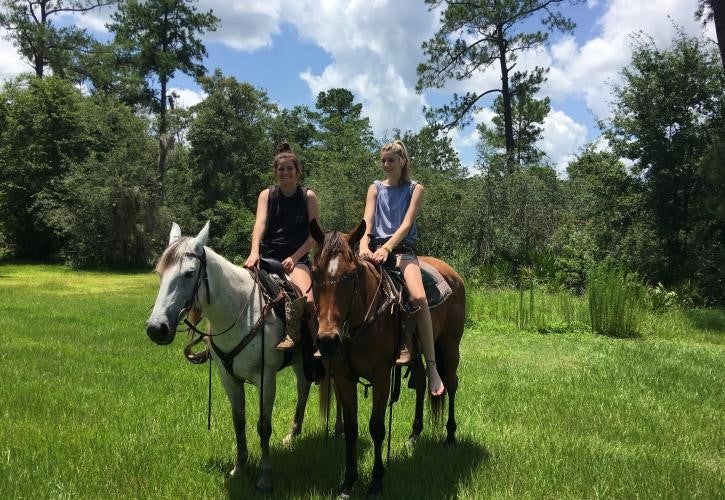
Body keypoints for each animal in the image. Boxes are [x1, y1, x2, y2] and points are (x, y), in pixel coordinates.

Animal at [146, 223, 316, 492]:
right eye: (159, 272)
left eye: (189, 273)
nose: (156, 328)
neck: (240, 310)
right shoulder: (228, 377)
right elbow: (239, 422)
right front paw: (239, 467)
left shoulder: (266, 378)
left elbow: (263, 426)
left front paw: (265, 476)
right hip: (299, 362)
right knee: (304, 389)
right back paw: (293, 434)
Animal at [310, 221, 466, 498]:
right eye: (315, 274)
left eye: (351, 275)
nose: (328, 340)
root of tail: (452, 274)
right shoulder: (343, 378)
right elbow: (351, 429)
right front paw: (348, 482)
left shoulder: (382, 375)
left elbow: (376, 428)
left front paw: (376, 481)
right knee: (422, 381)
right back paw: (414, 434)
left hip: (449, 345)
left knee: (450, 383)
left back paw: (449, 436)